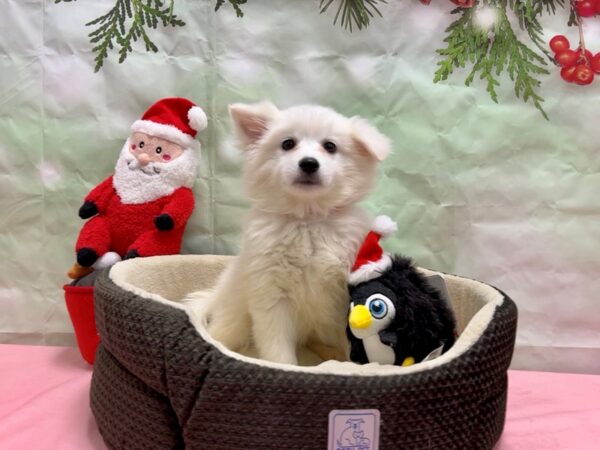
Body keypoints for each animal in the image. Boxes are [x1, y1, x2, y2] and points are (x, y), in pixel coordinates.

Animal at [190, 102, 392, 366]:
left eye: (330, 146)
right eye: (287, 144)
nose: (309, 163)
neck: (307, 219)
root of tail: (217, 294)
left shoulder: (343, 296)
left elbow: (350, 341)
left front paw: (349, 365)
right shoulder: (272, 294)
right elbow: (277, 347)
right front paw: (284, 368)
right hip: (235, 315)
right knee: (222, 334)